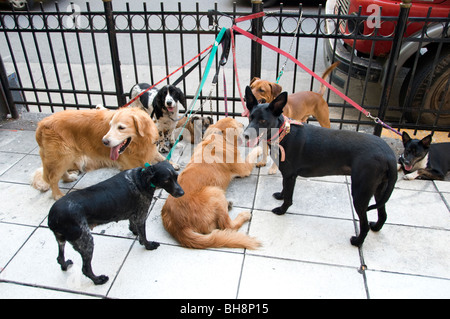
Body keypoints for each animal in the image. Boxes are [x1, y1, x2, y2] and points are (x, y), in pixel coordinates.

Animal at [30, 108, 171, 200]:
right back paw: (58, 195)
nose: (104, 141)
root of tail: (41, 123)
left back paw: (68, 178)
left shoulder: (150, 151)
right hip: (61, 156)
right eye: (110, 126)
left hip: (67, 156)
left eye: (121, 127)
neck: (139, 142)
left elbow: (163, 159)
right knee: (52, 178)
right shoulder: (131, 164)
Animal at [47, 161, 185, 286]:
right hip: (86, 241)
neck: (140, 179)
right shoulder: (141, 215)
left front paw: (135, 233)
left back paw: (65, 265)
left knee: (60, 257)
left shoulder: (134, 214)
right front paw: (148, 245)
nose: (182, 193)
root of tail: (52, 217)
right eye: (166, 180)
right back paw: (98, 280)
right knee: (85, 269)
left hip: (62, 239)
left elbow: (133, 225)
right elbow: (144, 235)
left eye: (176, 177)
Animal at [162, 117, 262, 250]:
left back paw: (228, 204)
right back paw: (244, 215)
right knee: (228, 226)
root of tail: (177, 226)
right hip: (215, 191)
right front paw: (259, 149)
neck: (218, 136)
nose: (243, 124)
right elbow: (251, 155)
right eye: (237, 124)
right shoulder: (244, 168)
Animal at [243, 87, 398, 248]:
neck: (283, 133)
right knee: (383, 214)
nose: (245, 135)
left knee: (365, 224)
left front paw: (282, 210)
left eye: (263, 120)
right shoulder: (288, 175)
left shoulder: (290, 175)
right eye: (250, 118)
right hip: (379, 189)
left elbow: (289, 198)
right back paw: (376, 227)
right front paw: (280, 195)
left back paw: (357, 241)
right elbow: (285, 189)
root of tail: (389, 155)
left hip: (360, 192)